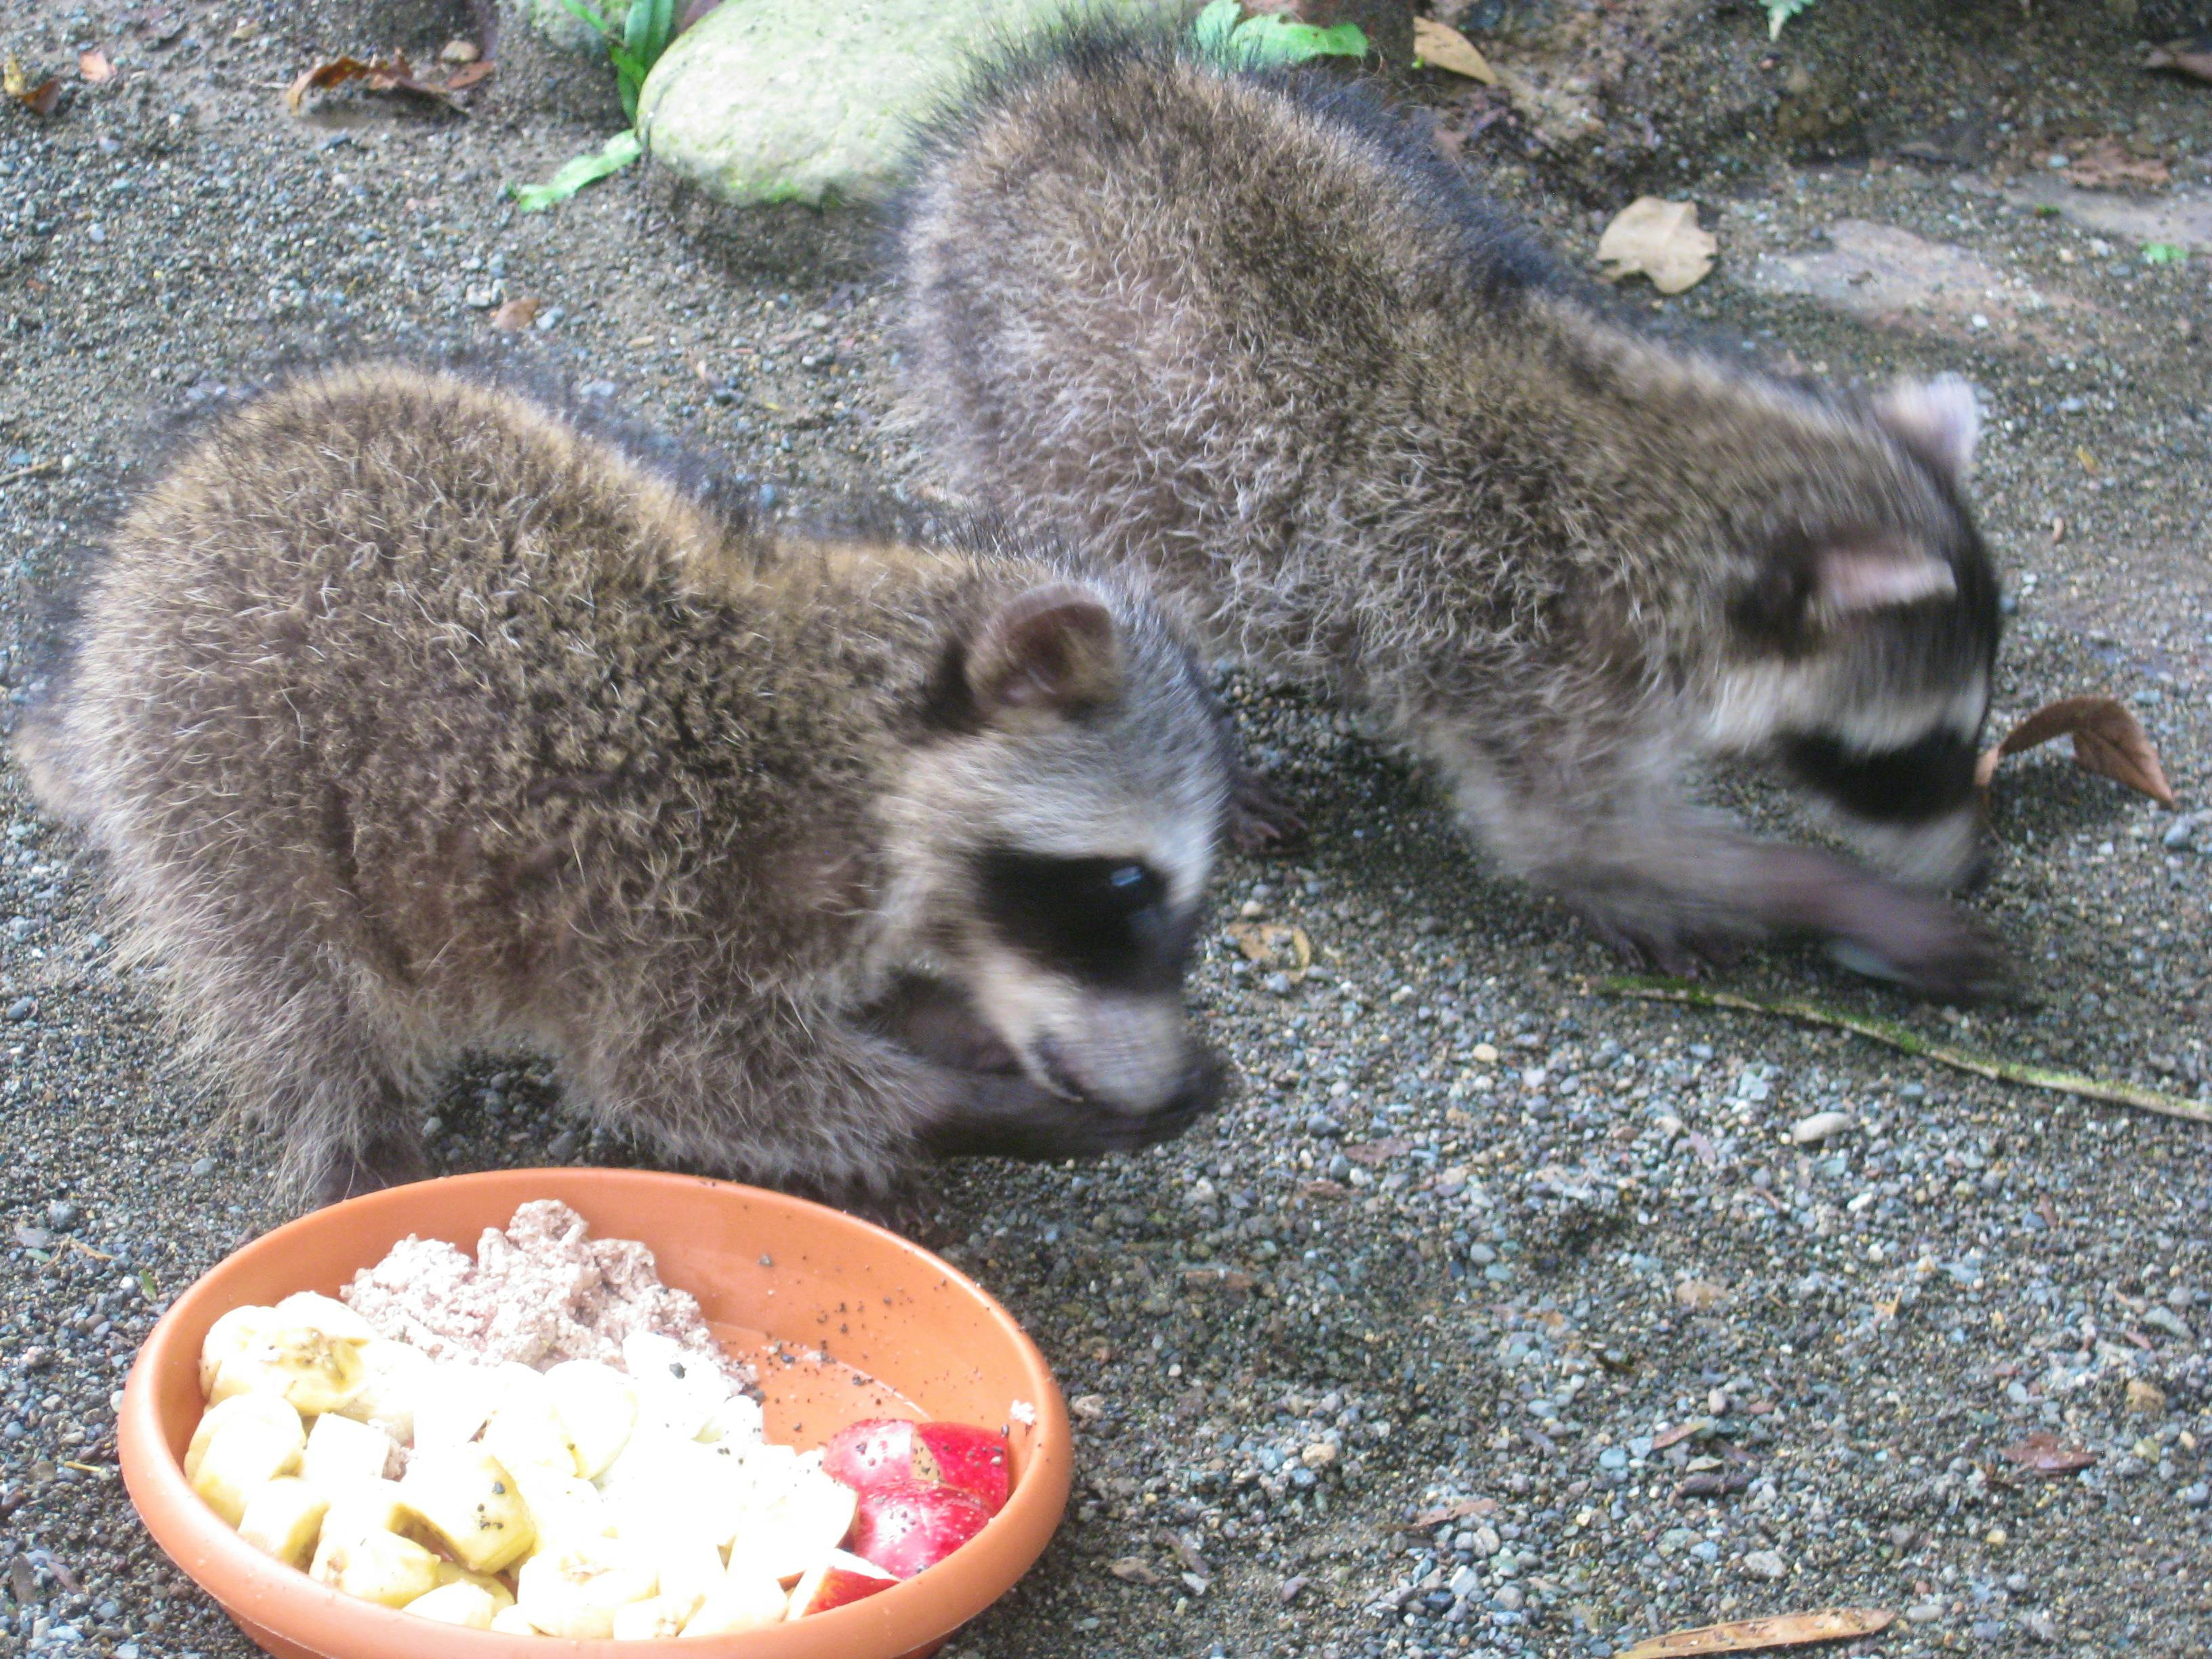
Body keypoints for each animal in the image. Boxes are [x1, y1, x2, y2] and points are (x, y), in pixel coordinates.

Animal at [17, 367, 1238, 1212]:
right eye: (1123, 887)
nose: (1164, 1078)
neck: (845, 743)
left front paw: (957, 1025)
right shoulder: (666, 864)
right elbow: (683, 1073)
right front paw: (980, 1111)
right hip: (219, 743)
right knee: (296, 981)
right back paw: (357, 1150)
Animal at [893, 32, 2008, 1000]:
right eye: (1912, 757)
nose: (1977, 874)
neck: (1683, 486)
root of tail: (1055, 98)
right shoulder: (1527, 659)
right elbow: (1573, 838)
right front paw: (1830, 896)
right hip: (1041, 413)